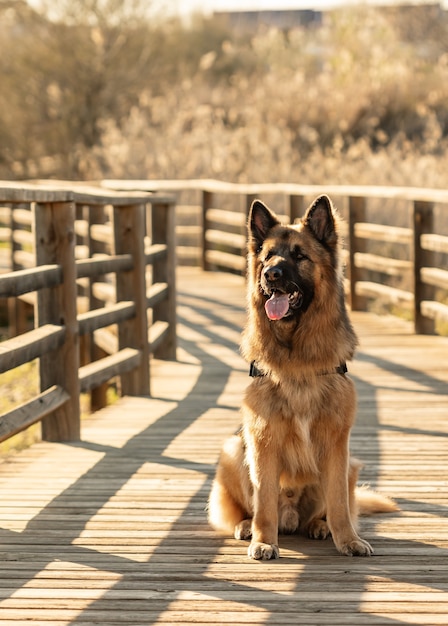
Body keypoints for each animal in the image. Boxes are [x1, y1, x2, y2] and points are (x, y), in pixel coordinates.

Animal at [208, 193, 398, 560]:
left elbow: (339, 503)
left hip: (350, 464)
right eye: (268, 256)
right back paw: (246, 526)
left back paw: (319, 526)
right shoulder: (263, 440)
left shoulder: (337, 444)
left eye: (299, 256)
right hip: (233, 450)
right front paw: (263, 540)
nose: (271, 274)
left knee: (328, 508)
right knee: (247, 508)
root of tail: (292, 518)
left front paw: (348, 539)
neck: (298, 357)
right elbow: (264, 500)